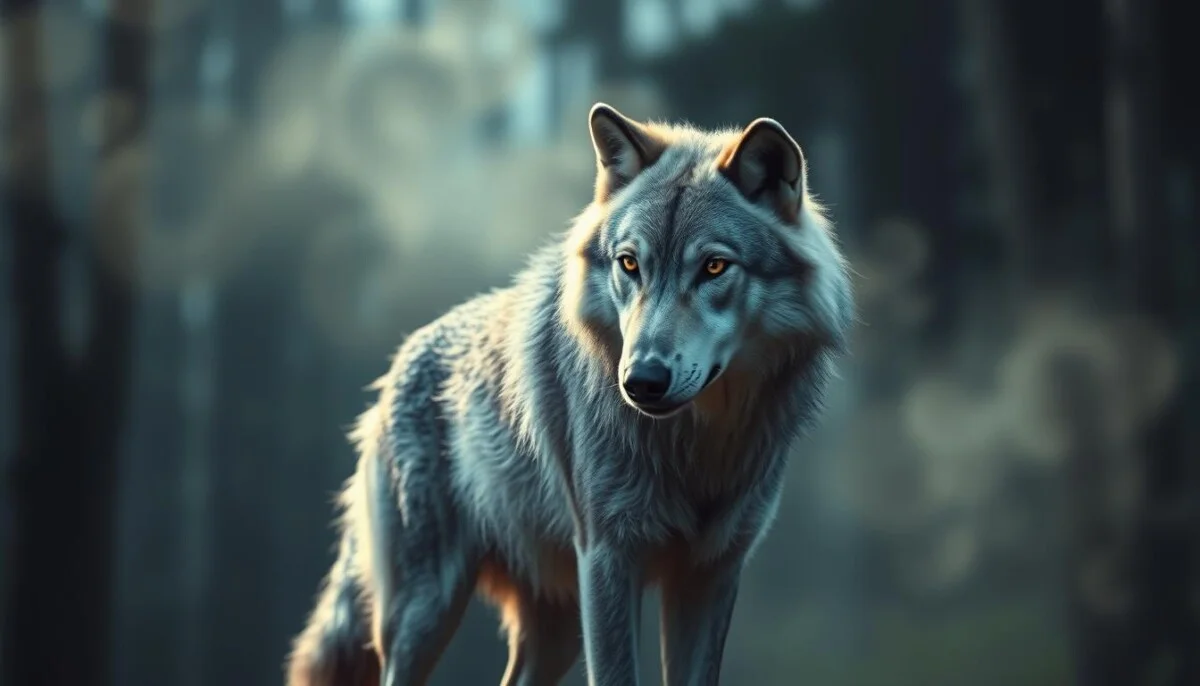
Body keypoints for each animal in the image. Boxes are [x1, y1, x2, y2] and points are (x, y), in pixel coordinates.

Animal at [285, 103, 854, 686]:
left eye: (714, 266)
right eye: (630, 264)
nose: (642, 381)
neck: (694, 447)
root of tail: (396, 365)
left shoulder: (711, 573)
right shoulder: (607, 559)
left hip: (552, 627)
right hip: (425, 613)